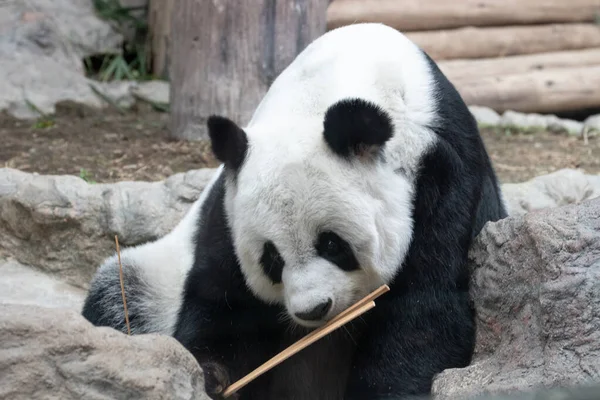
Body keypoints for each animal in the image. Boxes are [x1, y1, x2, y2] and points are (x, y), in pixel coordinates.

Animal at [82, 22, 508, 400]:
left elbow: (425, 307)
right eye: (271, 258)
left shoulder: (444, 174)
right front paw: (213, 377)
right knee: (117, 295)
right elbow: (223, 299)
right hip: (154, 279)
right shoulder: (228, 205)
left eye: (333, 244)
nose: (313, 309)